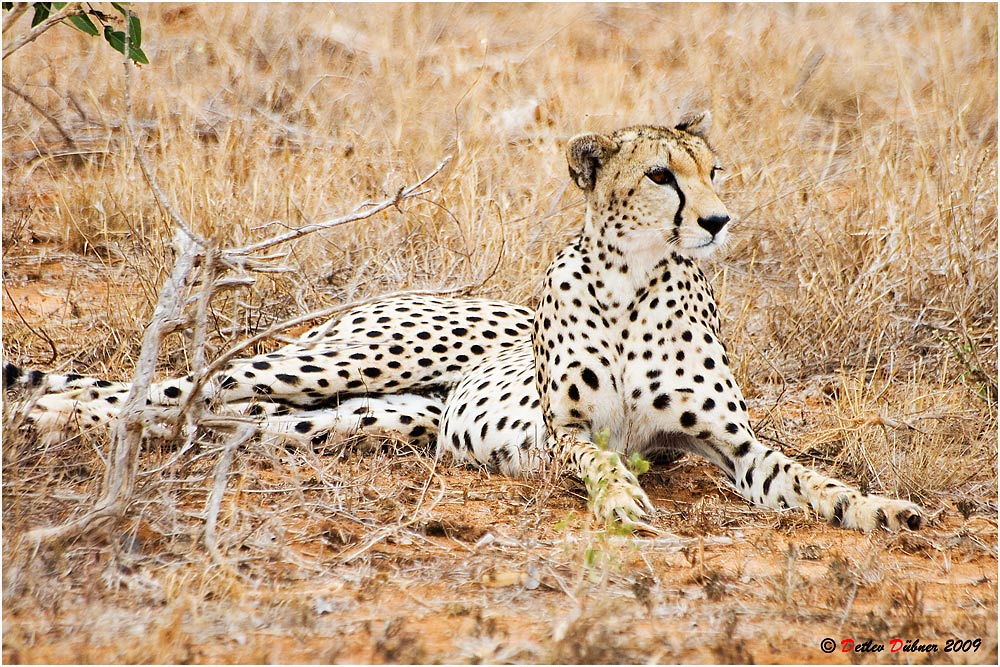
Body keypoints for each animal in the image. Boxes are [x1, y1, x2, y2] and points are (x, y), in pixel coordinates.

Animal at [1, 113, 920, 532]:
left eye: (715, 171)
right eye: (662, 175)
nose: (721, 221)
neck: (632, 284)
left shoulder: (730, 444)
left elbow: (808, 477)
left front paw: (878, 507)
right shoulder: (566, 433)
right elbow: (600, 459)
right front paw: (623, 502)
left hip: (361, 418)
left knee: (222, 416)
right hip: (344, 362)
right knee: (175, 386)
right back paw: (47, 413)